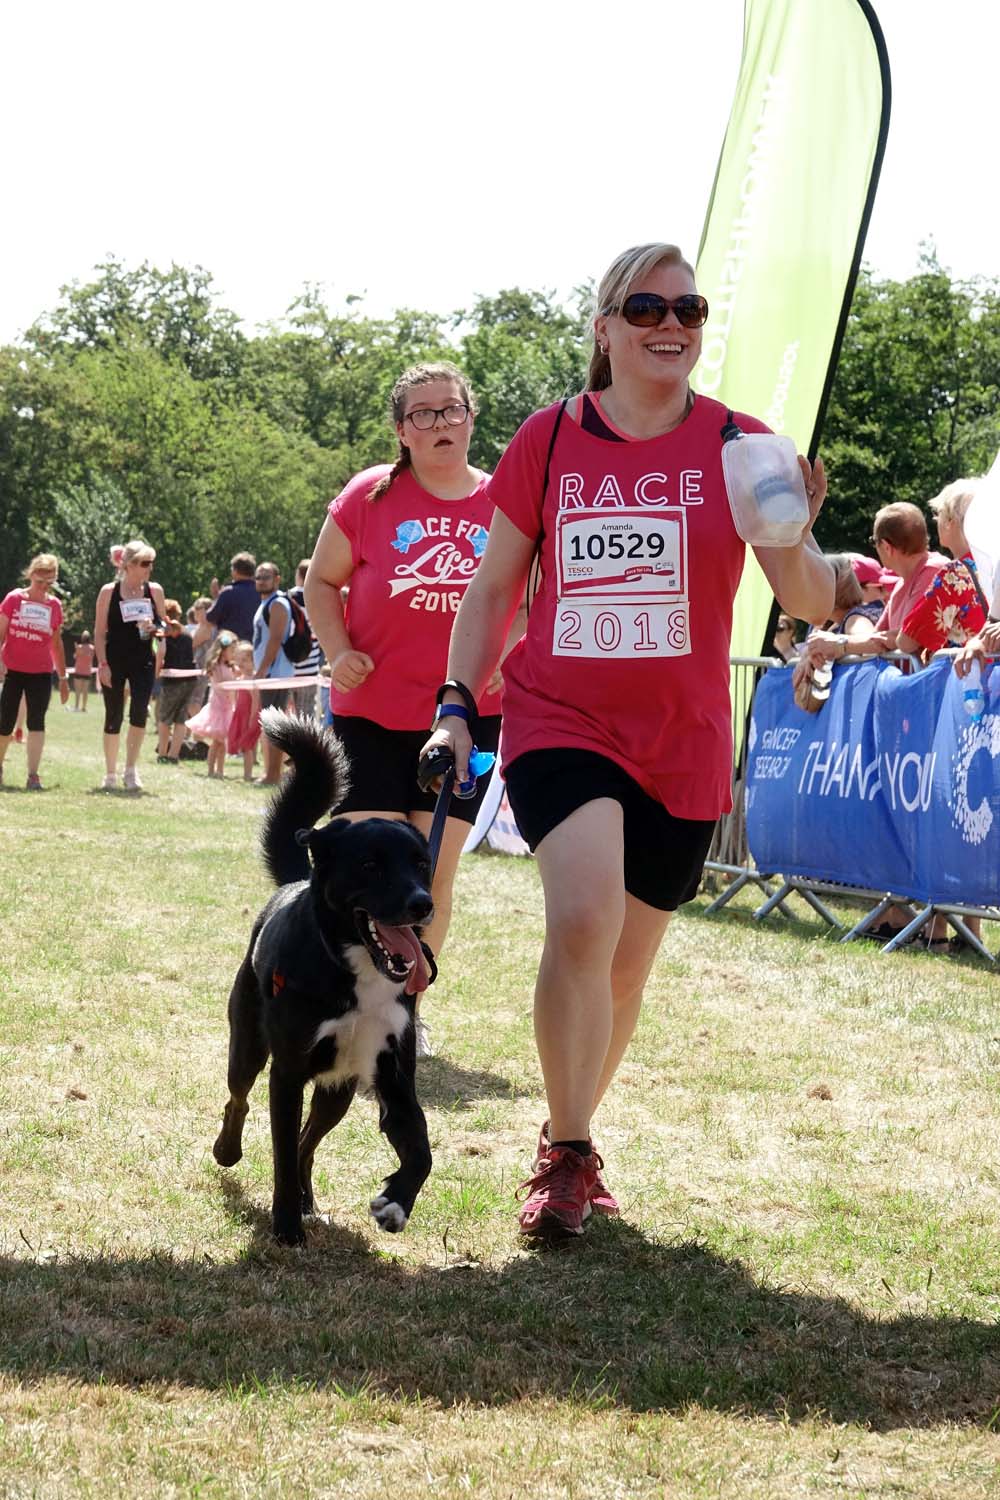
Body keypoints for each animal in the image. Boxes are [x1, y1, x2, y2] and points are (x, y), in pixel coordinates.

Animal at [215, 708, 437, 1248]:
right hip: (248, 1046)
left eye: (422, 863)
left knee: (305, 1143)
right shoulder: (288, 1073)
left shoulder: (394, 1076)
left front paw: (395, 1203)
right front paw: (285, 1227)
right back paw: (227, 1152)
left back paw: (308, 1198)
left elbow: (422, 1149)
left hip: (339, 1090)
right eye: (370, 864)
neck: (355, 968)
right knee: (239, 1099)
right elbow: (277, 1155)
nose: (423, 904)